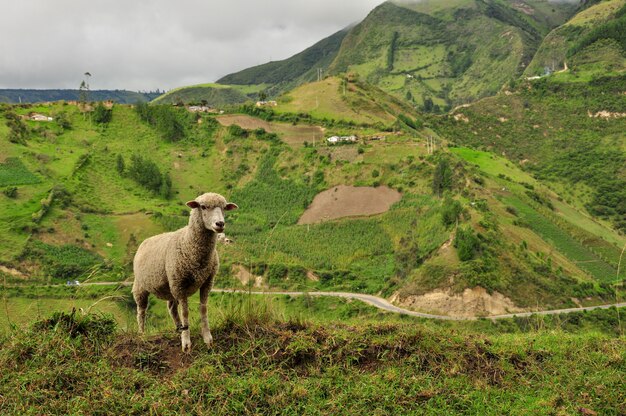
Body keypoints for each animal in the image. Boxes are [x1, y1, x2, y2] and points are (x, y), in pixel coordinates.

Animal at [132, 192, 236, 352]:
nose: (220, 224)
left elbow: (203, 309)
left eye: (224, 208)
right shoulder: (180, 285)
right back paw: (142, 333)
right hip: (142, 286)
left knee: (172, 308)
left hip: (170, 286)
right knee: (141, 311)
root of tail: (145, 241)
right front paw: (186, 342)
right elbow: (185, 312)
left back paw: (178, 328)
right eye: (203, 207)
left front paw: (207, 338)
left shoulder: (207, 281)